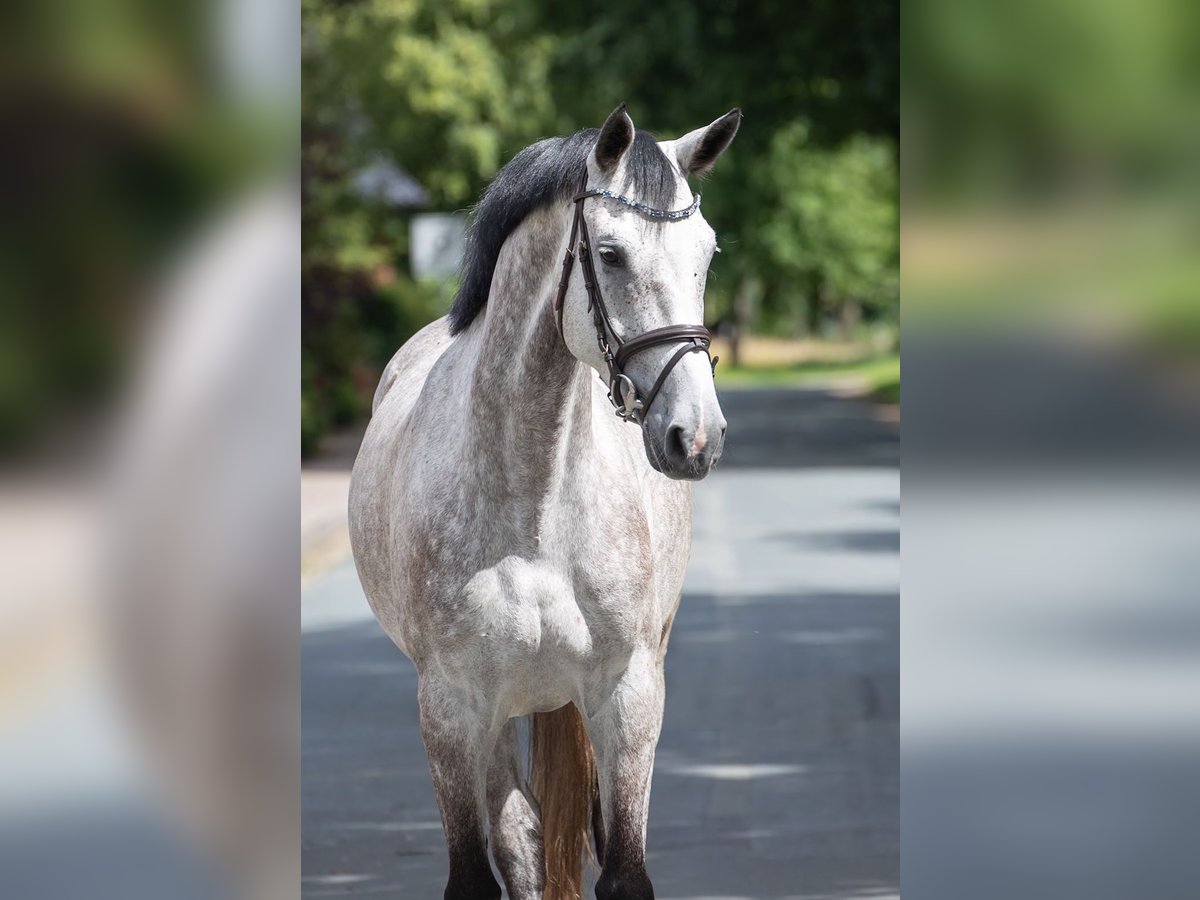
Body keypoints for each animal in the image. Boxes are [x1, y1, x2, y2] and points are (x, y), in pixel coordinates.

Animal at [348, 105, 739, 900]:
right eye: (611, 254)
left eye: (707, 254)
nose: (695, 435)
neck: (533, 509)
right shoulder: (451, 707)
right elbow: (479, 872)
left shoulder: (628, 693)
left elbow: (624, 869)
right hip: (494, 716)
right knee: (522, 836)